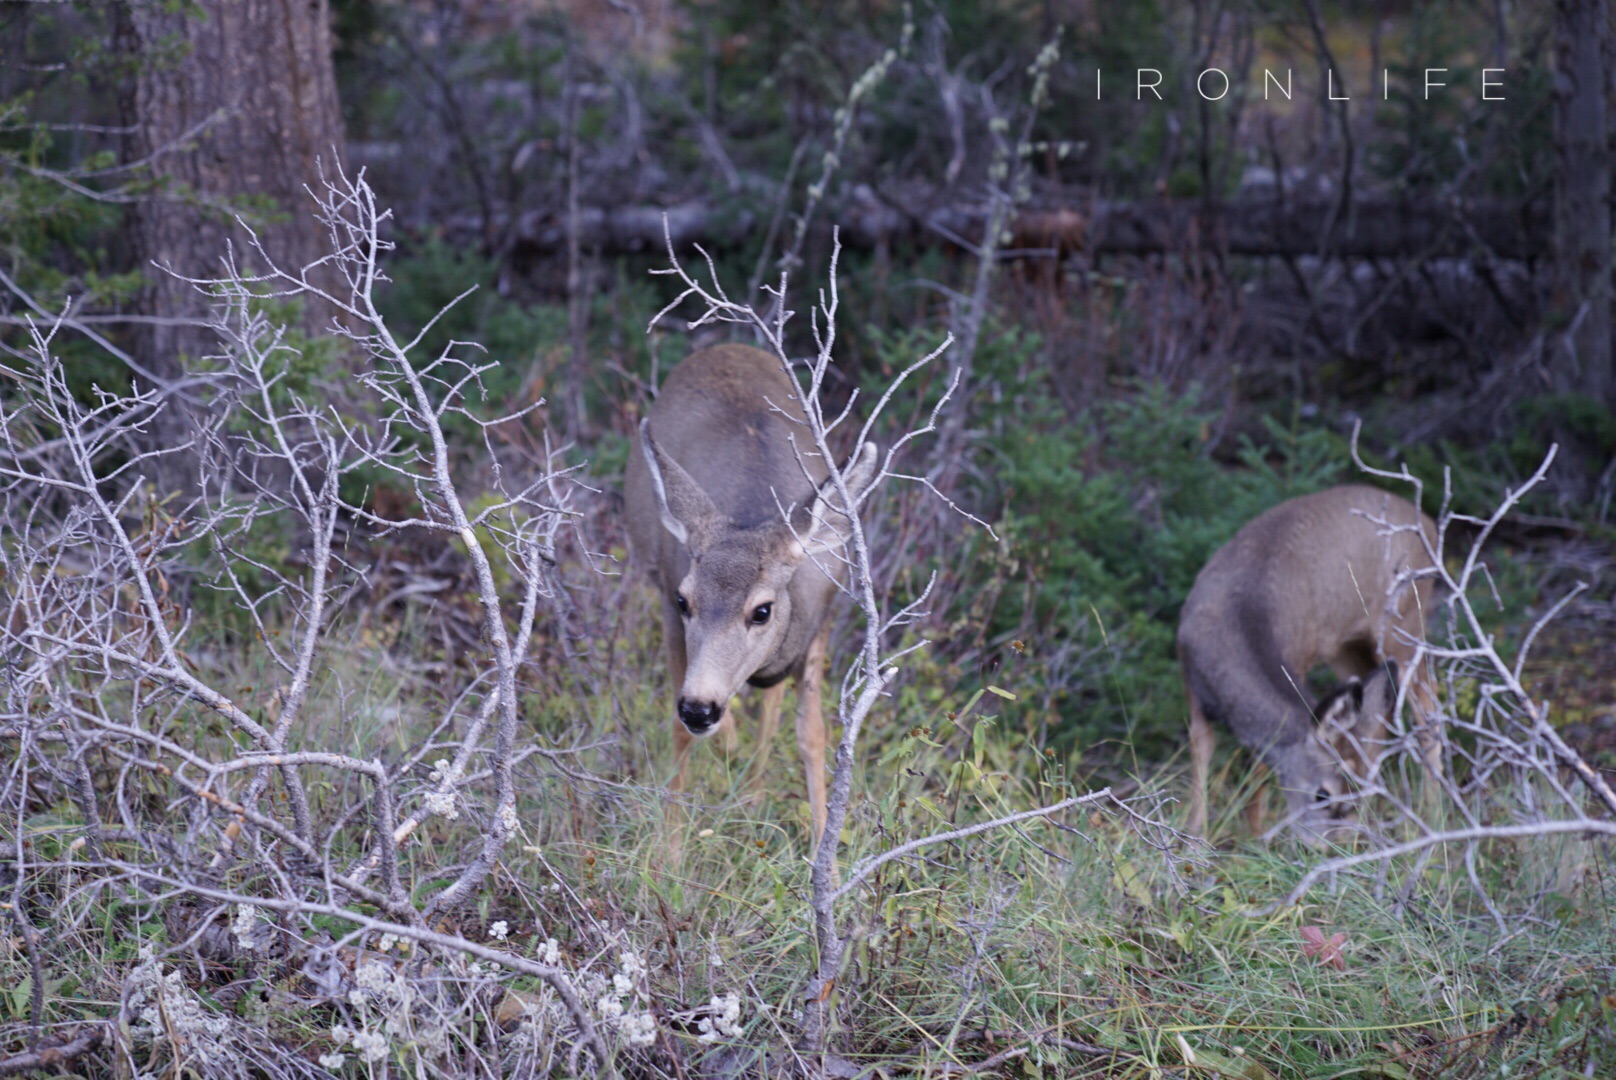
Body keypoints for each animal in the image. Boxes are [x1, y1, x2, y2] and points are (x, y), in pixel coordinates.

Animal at [623, 341, 879, 847]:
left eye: (762, 610)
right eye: (685, 601)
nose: (699, 708)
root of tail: (724, 346)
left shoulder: (819, 623)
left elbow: (812, 734)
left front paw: (825, 851)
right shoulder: (667, 605)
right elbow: (680, 734)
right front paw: (669, 853)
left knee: (772, 707)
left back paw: (753, 792)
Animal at [1176, 485, 1441, 847]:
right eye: (1323, 794)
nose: (1331, 846)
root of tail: (1429, 524)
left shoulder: (1296, 662)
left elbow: (1261, 762)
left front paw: (1255, 838)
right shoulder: (1189, 672)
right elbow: (1201, 747)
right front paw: (1195, 833)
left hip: (1404, 623)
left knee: (1429, 707)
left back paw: (1433, 812)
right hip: (1347, 647)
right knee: (1380, 714)